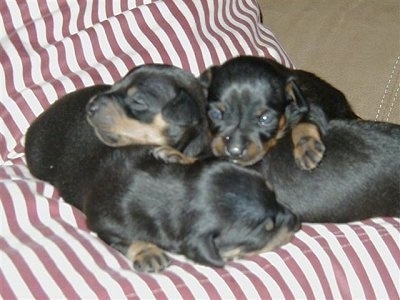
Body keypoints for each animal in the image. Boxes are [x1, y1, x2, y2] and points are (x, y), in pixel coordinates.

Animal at [202, 55, 358, 170]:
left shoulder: (311, 104)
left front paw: (306, 147)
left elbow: (305, 121)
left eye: (265, 119)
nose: (234, 151)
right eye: (215, 114)